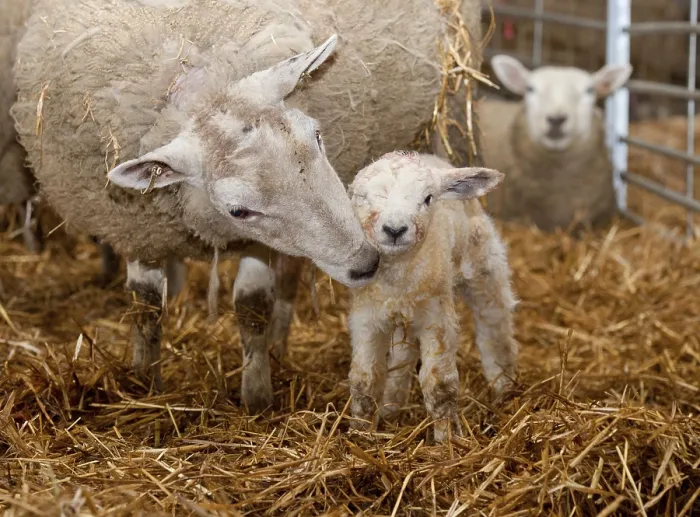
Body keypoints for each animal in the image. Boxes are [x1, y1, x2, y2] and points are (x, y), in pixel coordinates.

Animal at [11, 0, 484, 411]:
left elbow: (252, 306)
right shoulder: (138, 226)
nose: (366, 263)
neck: (197, 83)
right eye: (238, 210)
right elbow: (145, 305)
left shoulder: (256, 245)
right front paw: (145, 382)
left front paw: (256, 395)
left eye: (317, 135)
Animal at [347, 151, 518, 442]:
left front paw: (446, 440)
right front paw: (361, 433)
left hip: (483, 263)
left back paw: (504, 386)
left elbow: (439, 384)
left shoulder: (436, 319)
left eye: (427, 198)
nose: (395, 230)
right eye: (362, 197)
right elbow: (365, 380)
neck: (399, 276)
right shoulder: (366, 318)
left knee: (494, 324)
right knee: (403, 355)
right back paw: (392, 405)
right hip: (404, 318)